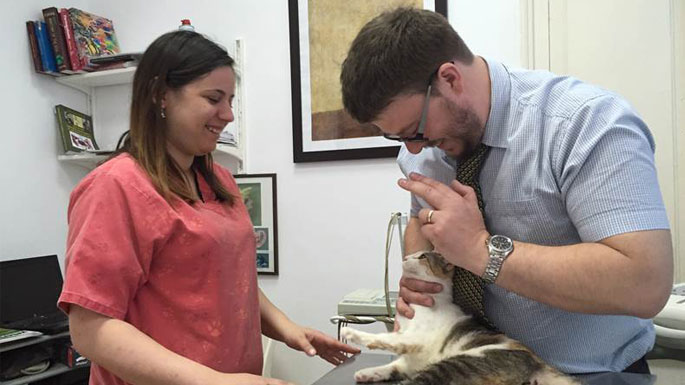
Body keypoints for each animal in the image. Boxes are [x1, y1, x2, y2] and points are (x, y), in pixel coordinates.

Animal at [340, 250, 580, 382]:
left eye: (423, 256)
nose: (406, 257)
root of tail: (541, 365)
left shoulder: (415, 339)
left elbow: (384, 339)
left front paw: (352, 333)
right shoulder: (410, 359)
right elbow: (394, 365)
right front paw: (369, 372)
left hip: (462, 362)